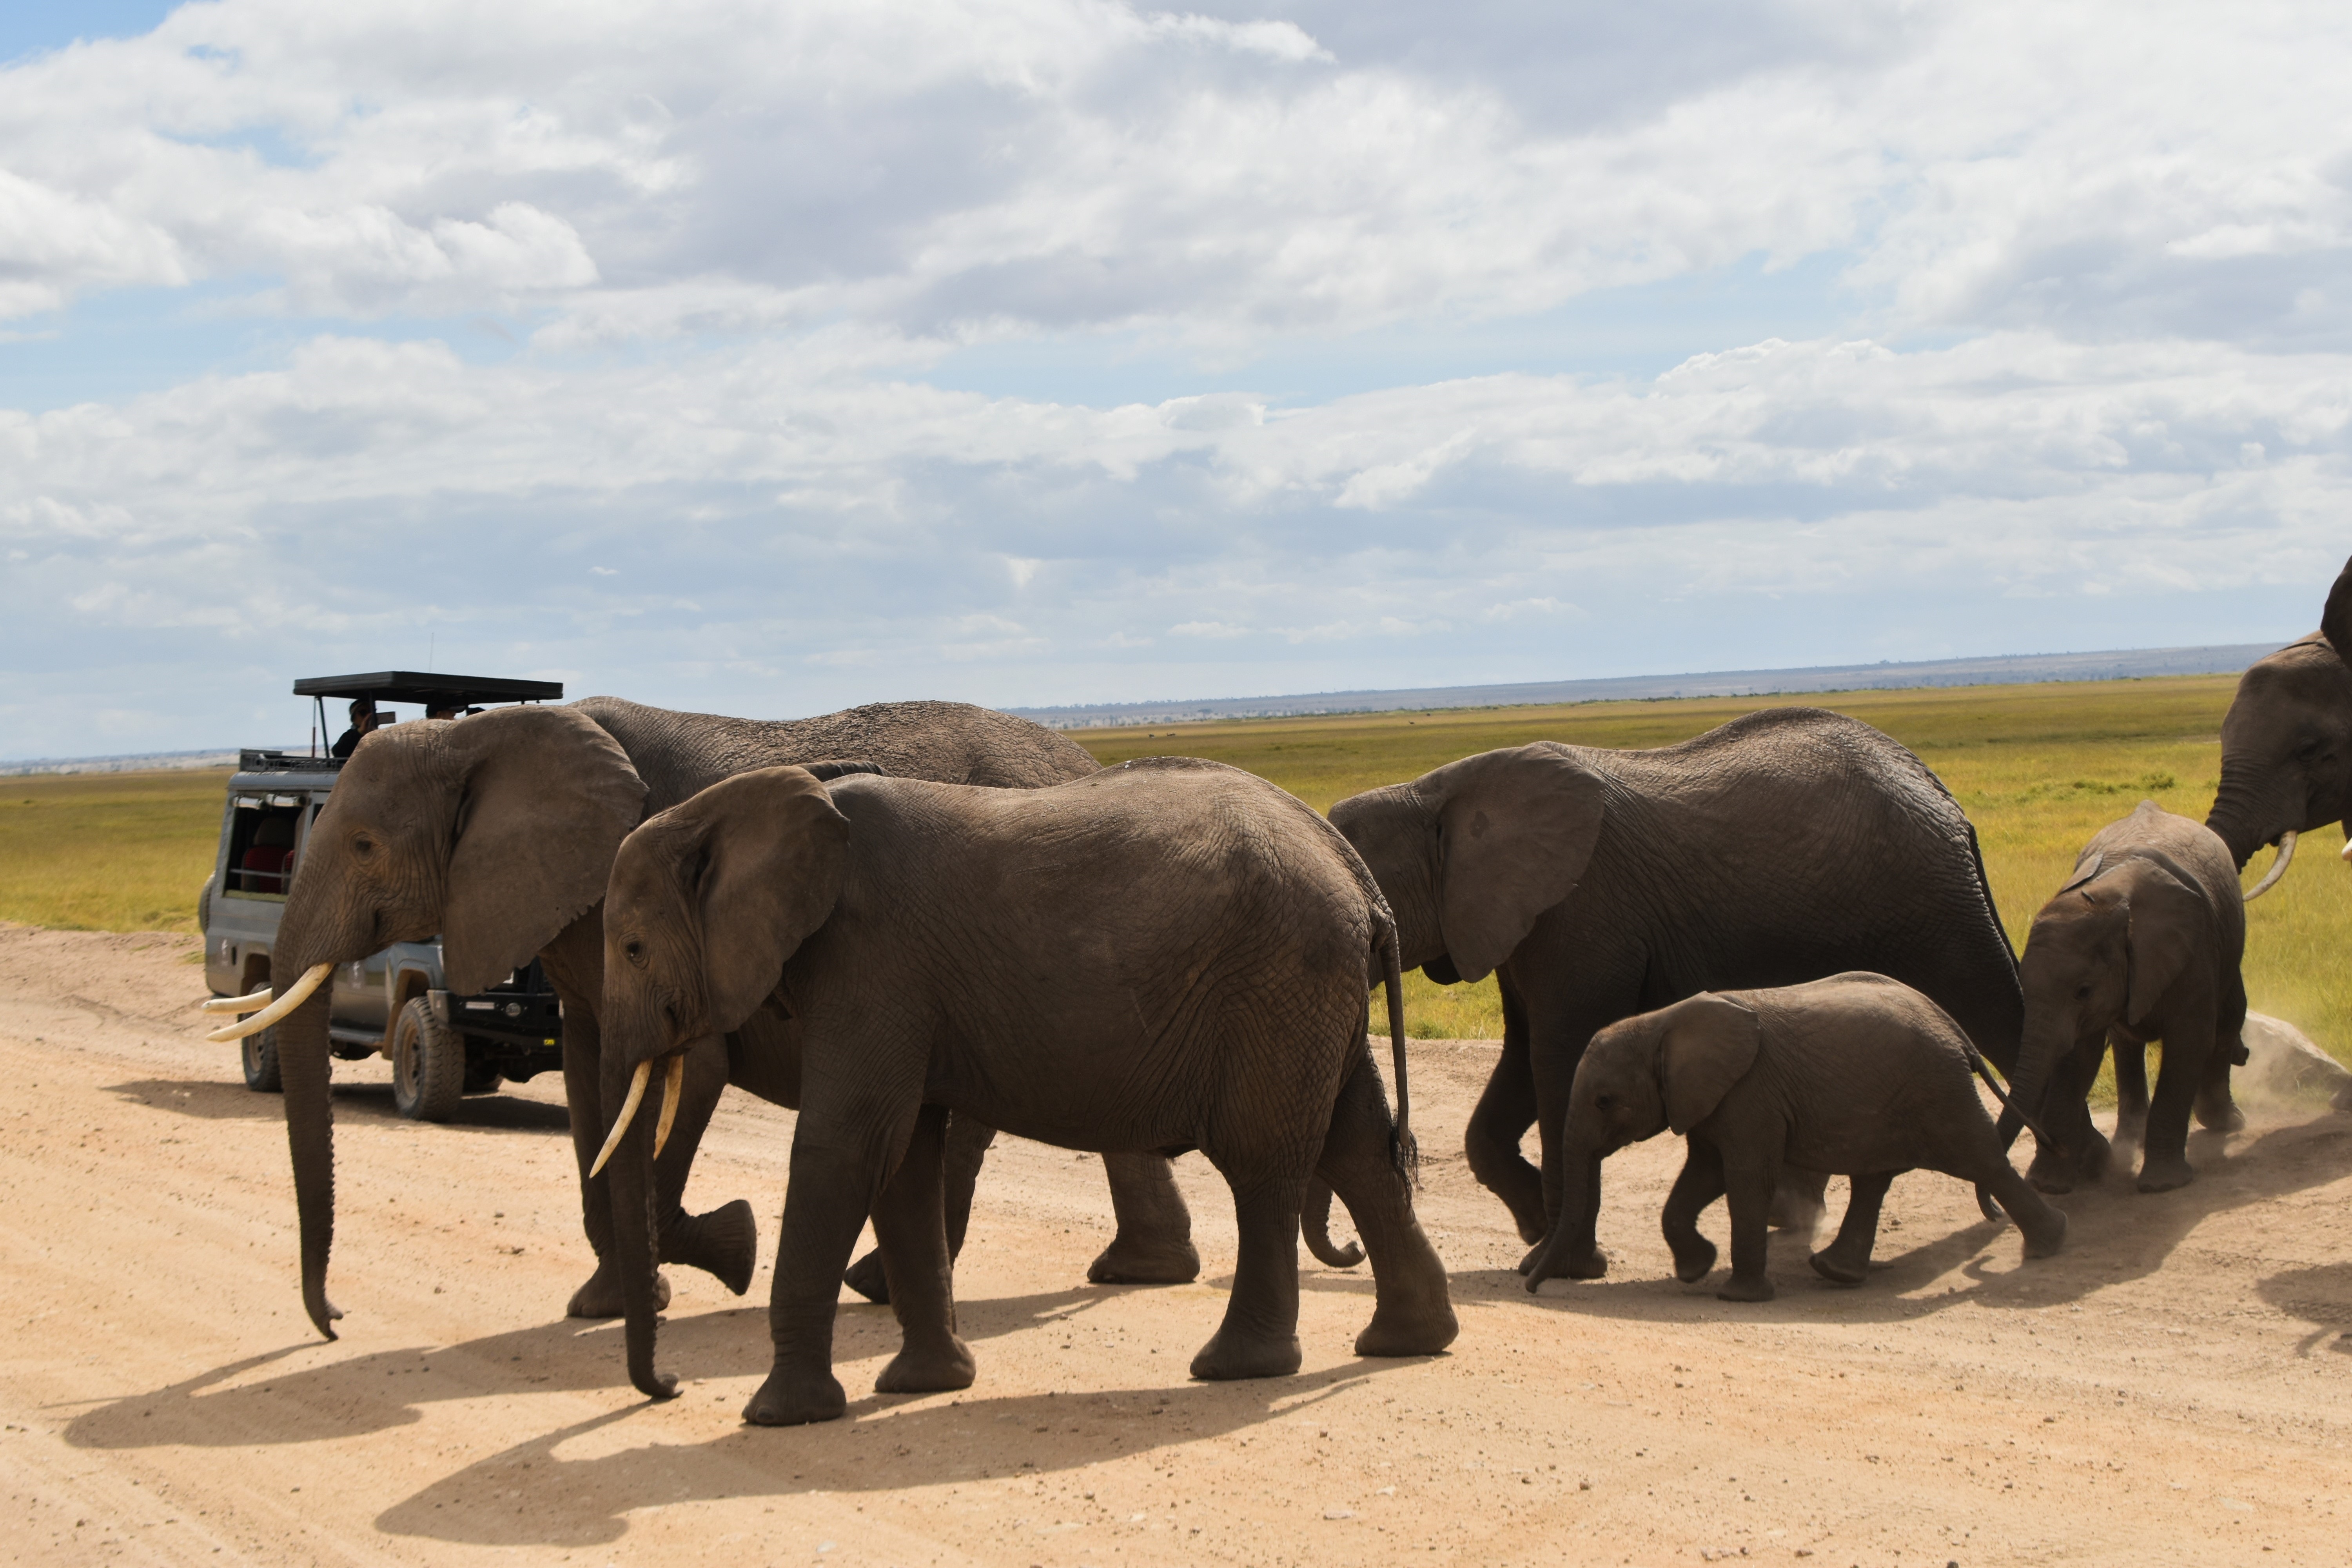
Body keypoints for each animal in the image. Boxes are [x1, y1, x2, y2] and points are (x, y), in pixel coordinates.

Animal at [208, 696, 1199, 1341]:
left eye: (364, 844)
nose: (334, 1320)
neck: (487, 733)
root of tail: (1090, 764)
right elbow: (592, 1085)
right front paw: (608, 1302)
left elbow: (689, 1075)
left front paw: (716, 1253)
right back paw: (1140, 1271)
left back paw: (884, 1287)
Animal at [593, 759, 1459, 1424]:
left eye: (632, 948)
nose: (669, 1388)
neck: (733, 806)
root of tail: (1357, 877)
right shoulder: (895, 985)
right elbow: (905, 1159)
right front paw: (924, 1386)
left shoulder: (870, 963)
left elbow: (850, 1145)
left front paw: (779, 1416)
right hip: (1313, 992)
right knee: (1358, 1149)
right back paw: (1407, 1343)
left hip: (1279, 983)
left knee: (1265, 1165)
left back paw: (1236, 1366)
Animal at [1327, 706, 2034, 1282]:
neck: (1432, 794)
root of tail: (1942, 794)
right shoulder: (1515, 921)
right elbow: (1520, 1061)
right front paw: (1536, 1235)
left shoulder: (1581, 912)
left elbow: (1557, 1058)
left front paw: (1562, 1264)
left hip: (1936, 908)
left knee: (2003, 1013)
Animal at [1523, 973, 2066, 1301]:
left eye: (1604, 1101)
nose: (1531, 1288)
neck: (1663, 1023)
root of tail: (1953, 1027)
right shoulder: (1713, 1099)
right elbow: (1703, 1175)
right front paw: (1695, 1271)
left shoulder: (1750, 1095)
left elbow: (1744, 1178)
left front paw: (1737, 1297)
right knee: (1874, 1180)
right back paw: (1836, 1273)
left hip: (1938, 1090)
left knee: (1983, 1161)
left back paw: (2050, 1245)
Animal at [2008, 800, 2248, 1195]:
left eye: (2084, 991)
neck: (2107, 895)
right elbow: (2079, 1056)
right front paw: (2049, 1186)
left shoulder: (2194, 952)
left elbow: (2189, 1043)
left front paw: (2162, 1186)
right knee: (2126, 1044)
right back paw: (2131, 1139)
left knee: (2228, 1019)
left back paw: (2227, 1123)